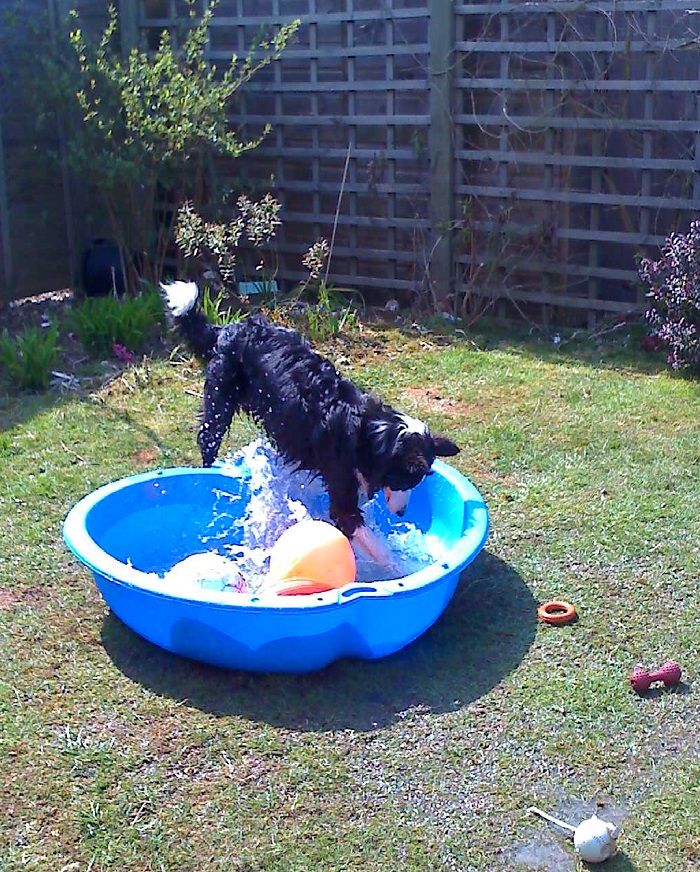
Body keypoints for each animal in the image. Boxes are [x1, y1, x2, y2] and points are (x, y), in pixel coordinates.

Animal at [162, 282, 462, 564]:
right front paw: (400, 570)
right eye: (407, 480)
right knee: (207, 439)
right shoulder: (342, 496)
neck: (370, 432)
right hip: (219, 402)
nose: (402, 513)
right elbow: (381, 550)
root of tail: (229, 329)